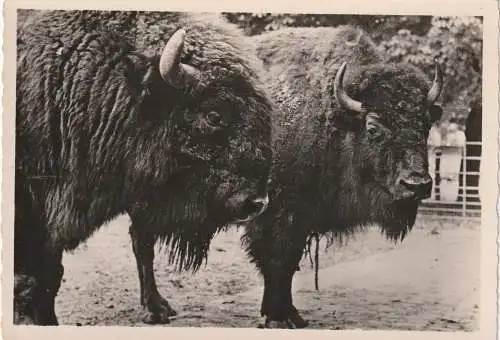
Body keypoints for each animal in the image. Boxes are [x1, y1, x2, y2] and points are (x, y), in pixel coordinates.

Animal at [236, 27, 444, 330]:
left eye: (426, 125)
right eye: (373, 129)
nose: (416, 184)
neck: (332, 117)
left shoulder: (301, 219)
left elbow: (289, 264)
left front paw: (292, 315)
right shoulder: (277, 213)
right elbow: (278, 260)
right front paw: (278, 318)